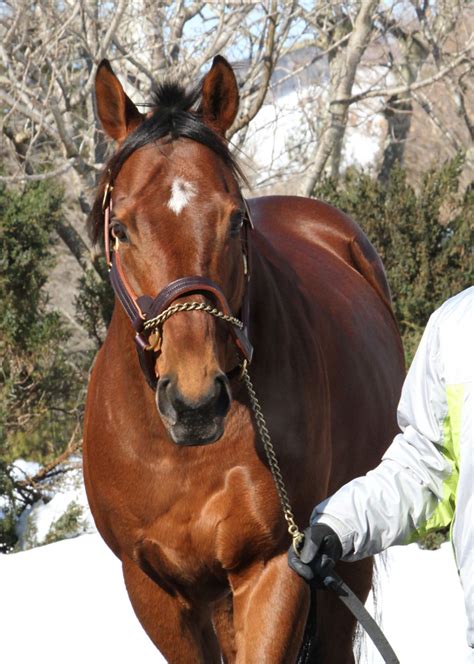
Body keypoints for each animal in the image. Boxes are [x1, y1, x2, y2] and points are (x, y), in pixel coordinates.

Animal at [83, 57, 406, 664]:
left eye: (235, 220)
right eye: (120, 229)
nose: (195, 402)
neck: (180, 459)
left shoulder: (276, 566)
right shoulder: (156, 592)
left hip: (345, 561)